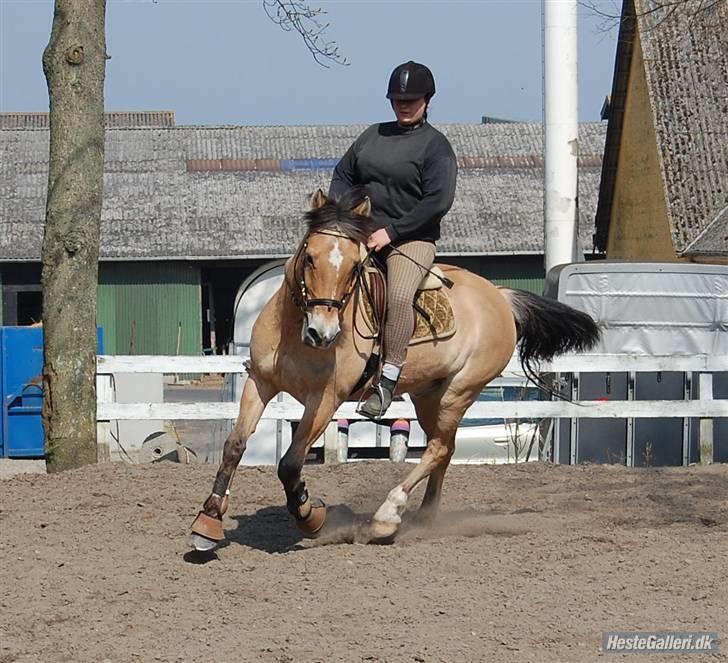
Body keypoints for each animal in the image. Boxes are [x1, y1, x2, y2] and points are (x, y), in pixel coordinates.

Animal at [191, 188, 600, 548]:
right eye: (309, 257)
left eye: (354, 267)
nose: (322, 333)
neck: (295, 332)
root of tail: (500, 295)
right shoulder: (260, 382)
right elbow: (234, 446)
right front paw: (207, 522)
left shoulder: (324, 400)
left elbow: (290, 463)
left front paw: (310, 516)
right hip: (428, 394)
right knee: (445, 448)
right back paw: (425, 516)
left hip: (460, 391)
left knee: (436, 448)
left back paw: (386, 516)